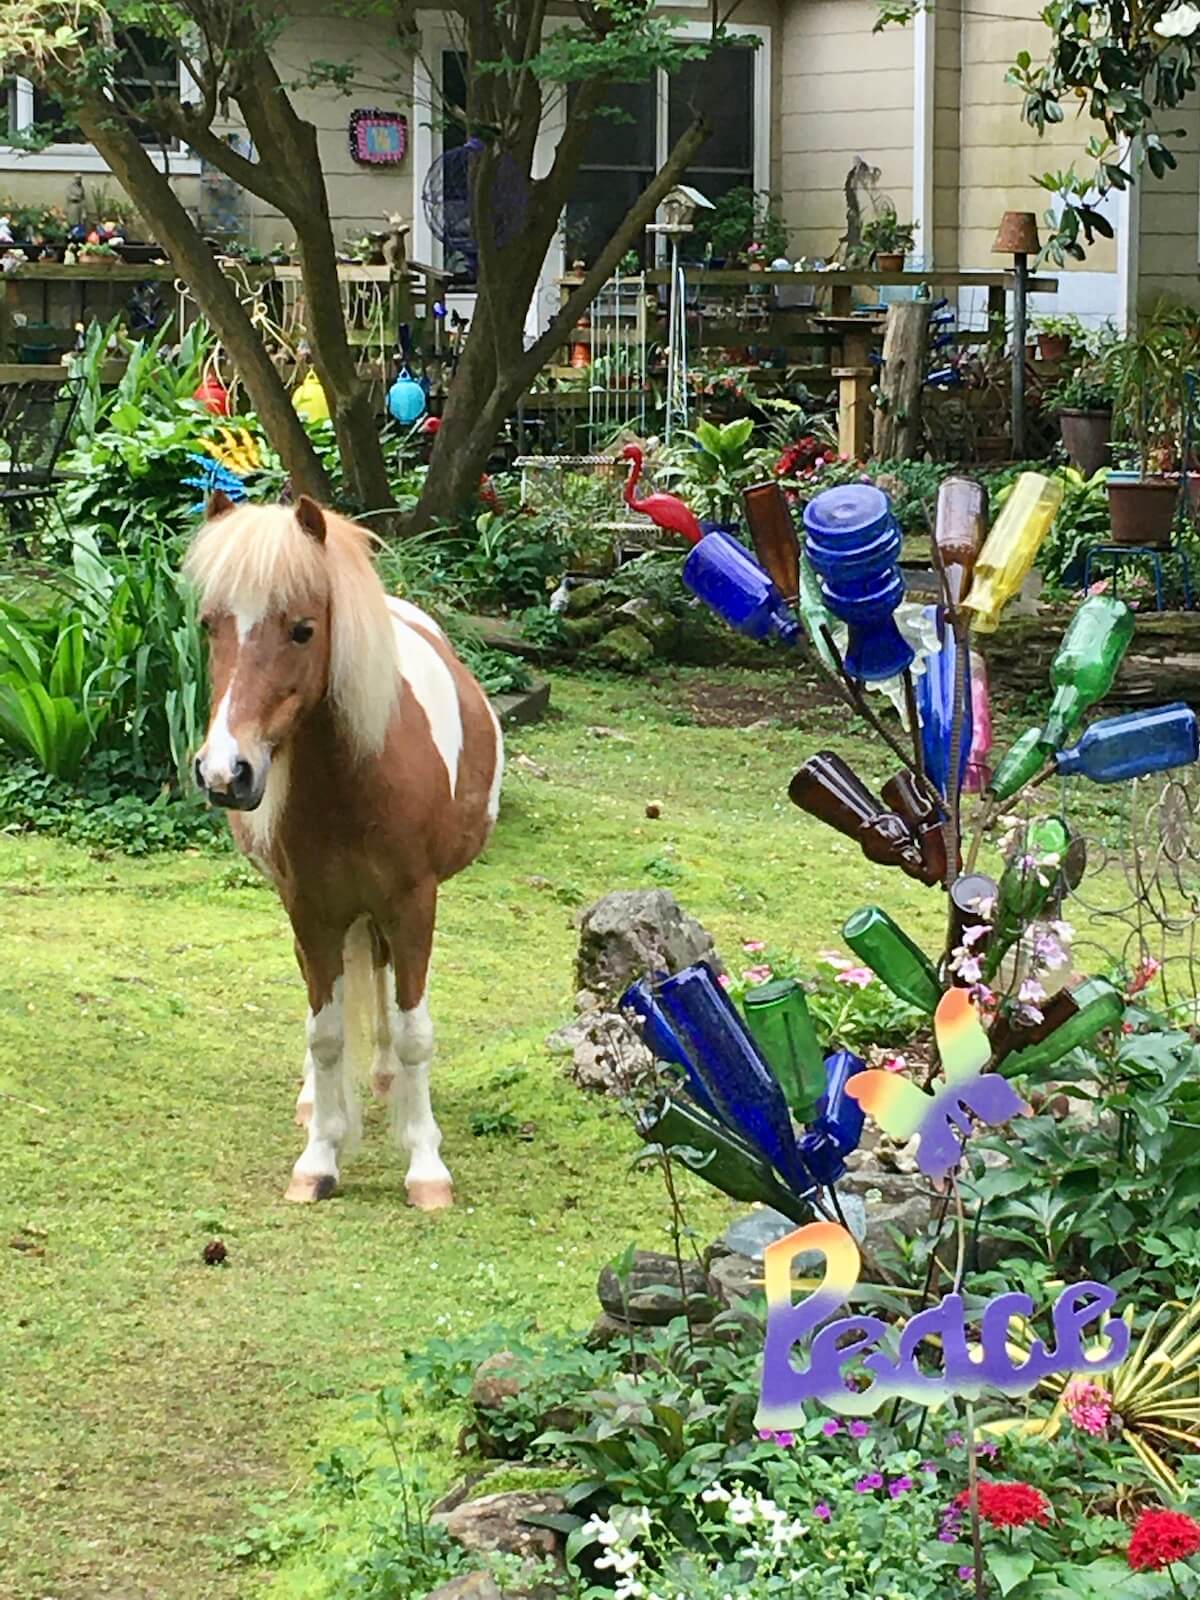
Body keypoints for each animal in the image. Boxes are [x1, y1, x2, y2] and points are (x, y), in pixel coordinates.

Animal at [187, 491, 503, 1208]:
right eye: (210, 625)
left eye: (303, 630)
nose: (225, 772)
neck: (353, 781)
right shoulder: (310, 909)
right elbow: (325, 1032)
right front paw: (319, 1155)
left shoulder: (413, 903)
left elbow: (414, 1032)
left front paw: (426, 1166)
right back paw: (316, 1099)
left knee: (385, 984)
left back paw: (385, 1080)